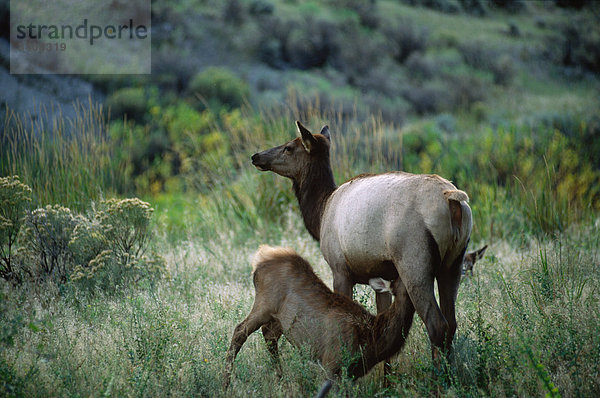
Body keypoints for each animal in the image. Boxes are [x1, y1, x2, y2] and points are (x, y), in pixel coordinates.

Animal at [223, 244, 414, 390]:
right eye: (401, 282)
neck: (371, 339)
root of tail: (261, 256)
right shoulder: (332, 361)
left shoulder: (351, 374)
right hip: (265, 304)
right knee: (240, 330)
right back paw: (226, 384)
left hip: (279, 319)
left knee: (269, 336)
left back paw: (281, 381)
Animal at [251, 121, 472, 364]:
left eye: (289, 147)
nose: (256, 156)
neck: (320, 214)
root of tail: (452, 200)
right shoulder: (382, 276)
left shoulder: (340, 269)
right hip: (453, 263)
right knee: (451, 323)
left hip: (415, 263)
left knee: (437, 324)